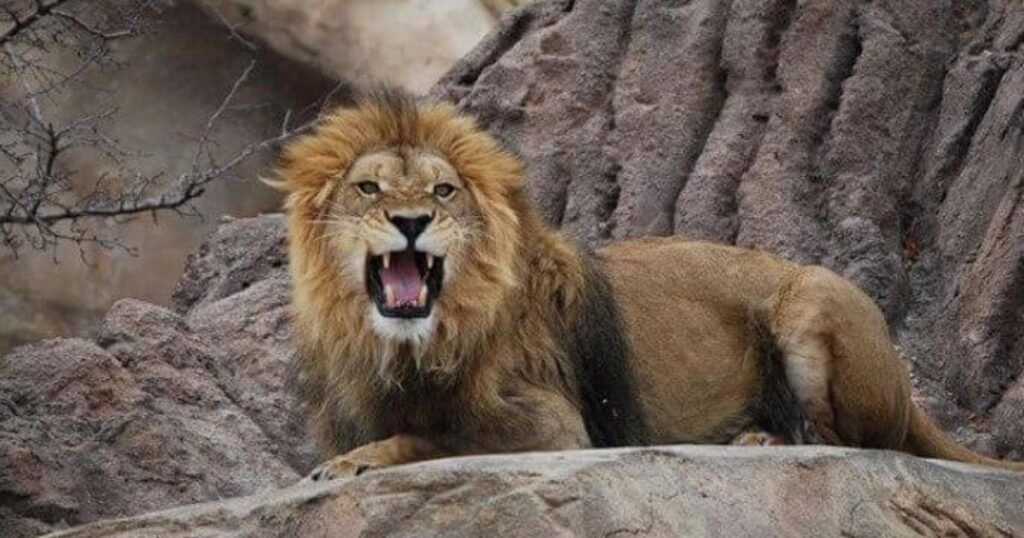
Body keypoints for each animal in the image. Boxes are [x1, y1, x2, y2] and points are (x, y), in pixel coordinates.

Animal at [272, 90, 1023, 479]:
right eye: (368, 188)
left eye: (443, 191)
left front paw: (359, 462)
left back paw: (760, 441)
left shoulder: (555, 426)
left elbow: (436, 439)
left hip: (812, 294)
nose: (411, 221)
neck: (399, 348)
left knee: (846, 442)